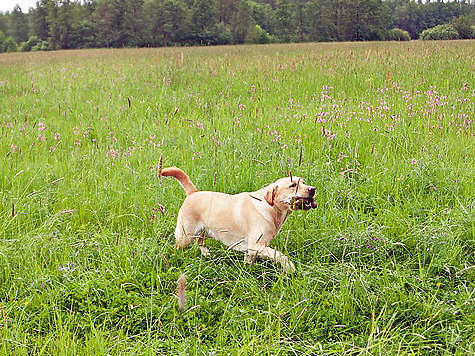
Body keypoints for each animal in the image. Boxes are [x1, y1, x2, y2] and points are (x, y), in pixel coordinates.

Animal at [162, 167, 318, 272]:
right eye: (293, 185)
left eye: (304, 182)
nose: (313, 189)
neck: (271, 209)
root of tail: (193, 193)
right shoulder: (256, 245)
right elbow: (279, 255)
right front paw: (289, 267)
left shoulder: (252, 249)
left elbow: (249, 261)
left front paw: (247, 270)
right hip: (186, 236)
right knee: (179, 246)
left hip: (204, 231)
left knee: (200, 242)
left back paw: (206, 253)